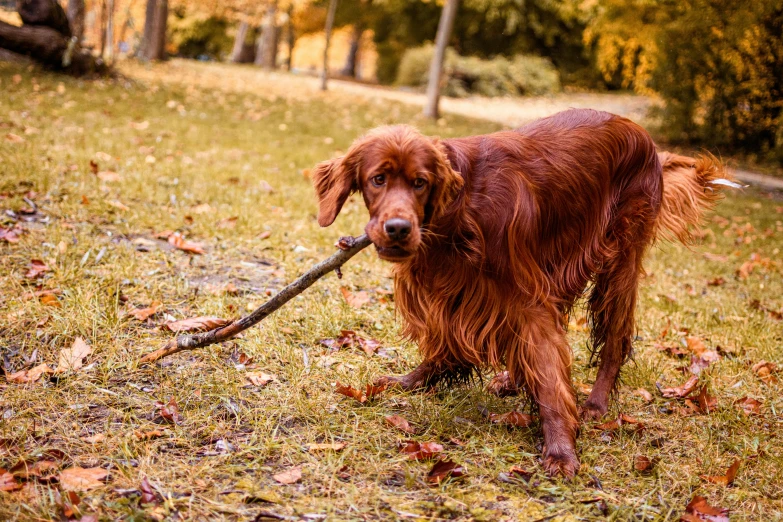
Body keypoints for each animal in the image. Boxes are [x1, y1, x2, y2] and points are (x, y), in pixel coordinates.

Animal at [310, 107, 728, 474]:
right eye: (378, 179)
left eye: (420, 182)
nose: (397, 229)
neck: (459, 212)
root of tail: (645, 138)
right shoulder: (456, 290)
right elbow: (455, 344)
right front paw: (412, 380)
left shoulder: (524, 295)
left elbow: (548, 364)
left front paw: (560, 448)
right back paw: (513, 379)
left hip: (620, 259)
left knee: (616, 338)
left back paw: (595, 403)